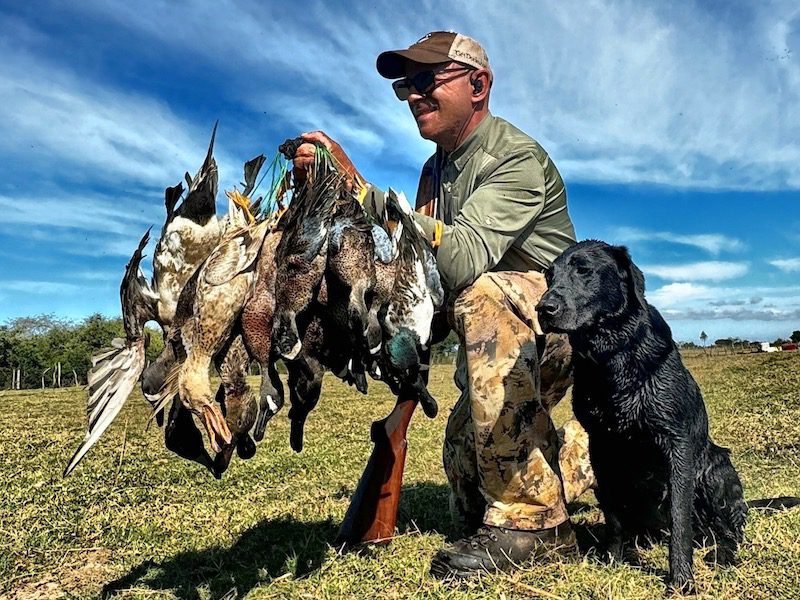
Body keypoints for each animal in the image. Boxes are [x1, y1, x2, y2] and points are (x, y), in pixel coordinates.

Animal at [535, 240, 749, 594]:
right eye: (548, 276)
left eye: (583, 270)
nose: (543, 308)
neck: (613, 356)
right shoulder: (601, 446)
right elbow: (613, 516)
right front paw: (612, 561)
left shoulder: (677, 444)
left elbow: (679, 518)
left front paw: (681, 579)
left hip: (718, 469)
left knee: (730, 531)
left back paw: (723, 554)